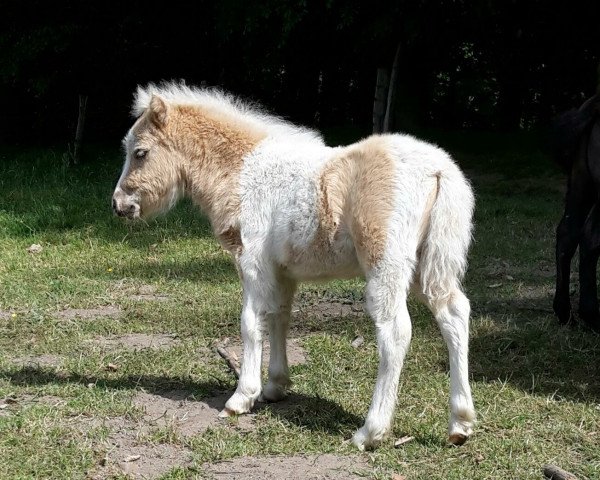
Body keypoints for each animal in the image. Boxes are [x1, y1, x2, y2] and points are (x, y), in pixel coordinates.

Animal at [112, 83, 478, 450]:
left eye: (140, 152)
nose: (118, 206)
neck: (242, 172)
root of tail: (438, 169)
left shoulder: (252, 262)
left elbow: (250, 322)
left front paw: (241, 398)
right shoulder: (282, 270)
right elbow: (279, 317)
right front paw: (275, 387)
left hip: (386, 264)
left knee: (395, 331)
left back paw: (370, 432)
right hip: (430, 265)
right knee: (454, 314)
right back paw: (460, 424)